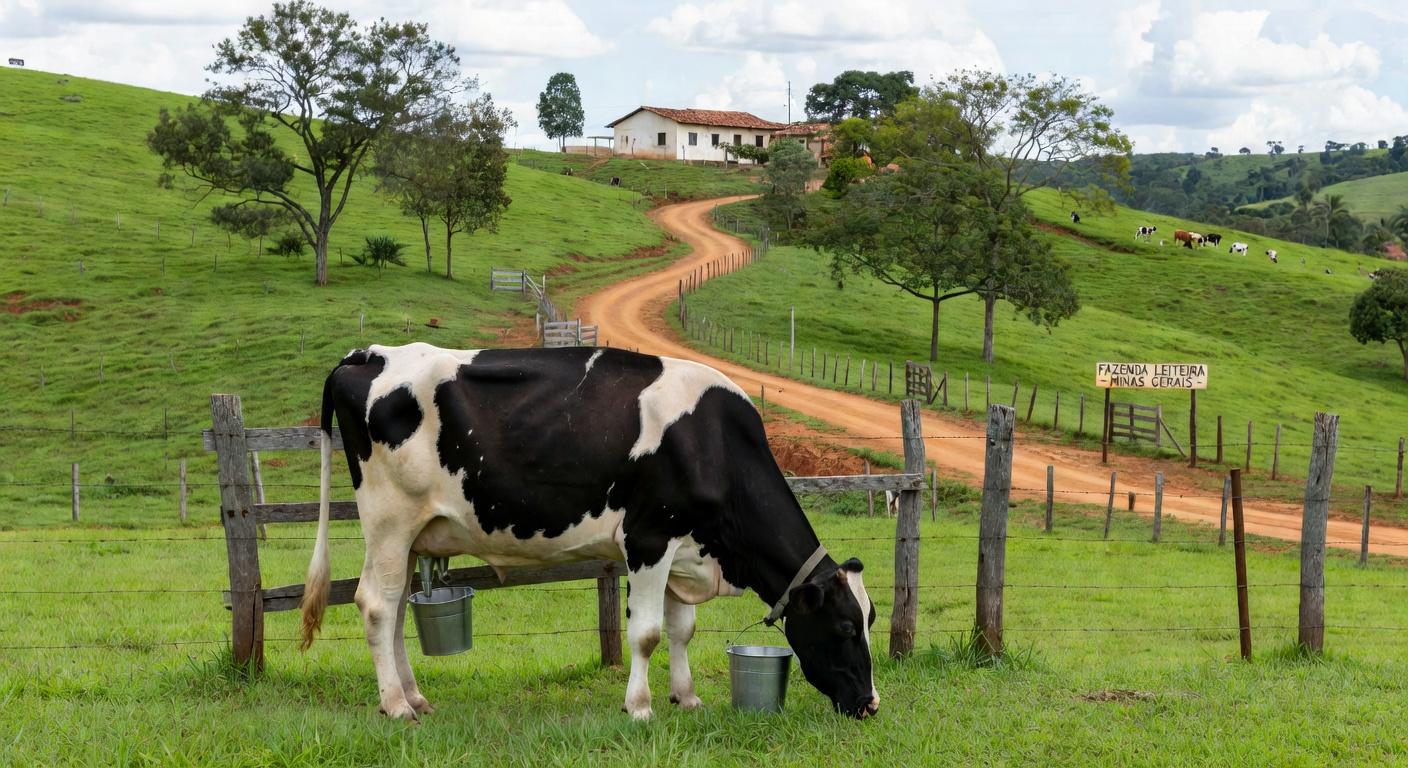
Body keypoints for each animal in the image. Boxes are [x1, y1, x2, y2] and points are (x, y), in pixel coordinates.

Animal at [302, 344, 881, 722]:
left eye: (870, 620)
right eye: (845, 628)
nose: (871, 704)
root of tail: (368, 354)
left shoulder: (685, 548)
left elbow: (682, 630)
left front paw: (687, 697)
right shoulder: (648, 538)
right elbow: (646, 633)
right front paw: (640, 707)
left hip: (409, 535)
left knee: (397, 611)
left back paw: (415, 696)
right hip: (388, 520)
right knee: (377, 606)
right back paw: (396, 706)